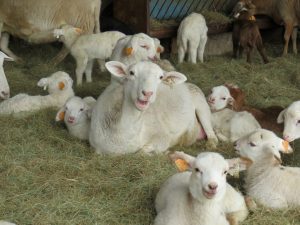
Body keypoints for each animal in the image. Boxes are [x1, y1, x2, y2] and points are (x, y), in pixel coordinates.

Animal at [89, 60, 218, 155]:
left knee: (212, 134)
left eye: (161, 77)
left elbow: (141, 152)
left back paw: (211, 144)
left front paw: (163, 152)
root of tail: (187, 84)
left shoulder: (162, 136)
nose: (147, 93)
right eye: (131, 73)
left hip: (202, 106)